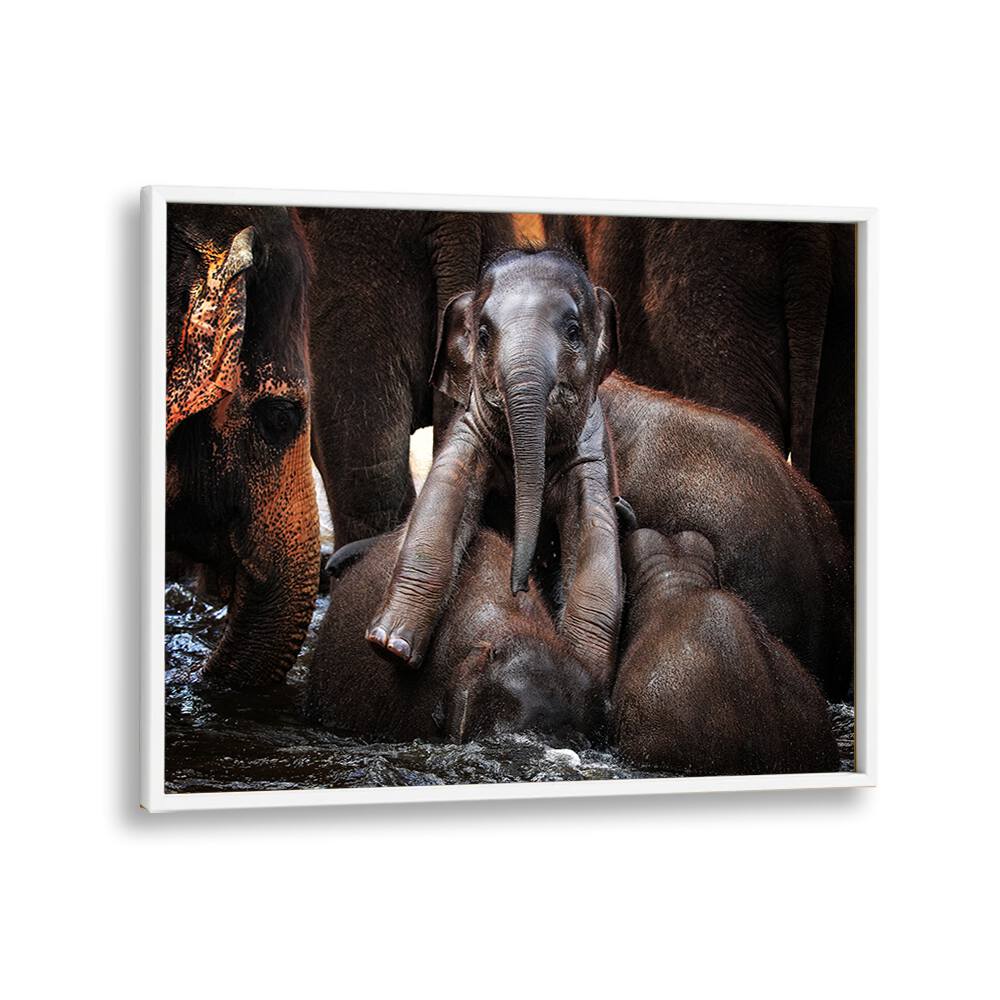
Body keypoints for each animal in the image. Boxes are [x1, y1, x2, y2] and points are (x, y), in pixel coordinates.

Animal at [364, 247, 624, 688]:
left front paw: (582, 671)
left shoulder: (592, 453)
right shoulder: (468, 430)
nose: (518, 587)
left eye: (573, 331)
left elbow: (596, 534)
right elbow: (444, 496)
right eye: (483, 335)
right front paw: (389, 646)